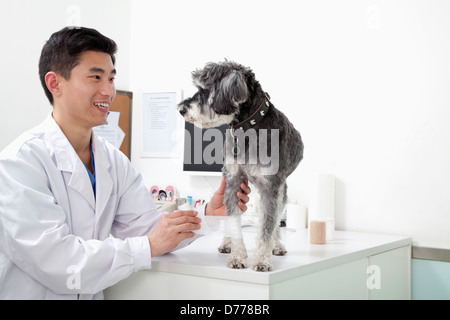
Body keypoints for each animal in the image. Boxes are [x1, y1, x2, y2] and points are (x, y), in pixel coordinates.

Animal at [178, 61, 304, 272]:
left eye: (204, 89)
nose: (181, 109)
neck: (248, 128)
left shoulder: (271, 188)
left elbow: (267, 226)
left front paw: (262, 260)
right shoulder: (233, 182)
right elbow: (234, 221)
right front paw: (237, 256)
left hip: (281, 191)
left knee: (276, 221)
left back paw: (277, 245)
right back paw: (226, 243)